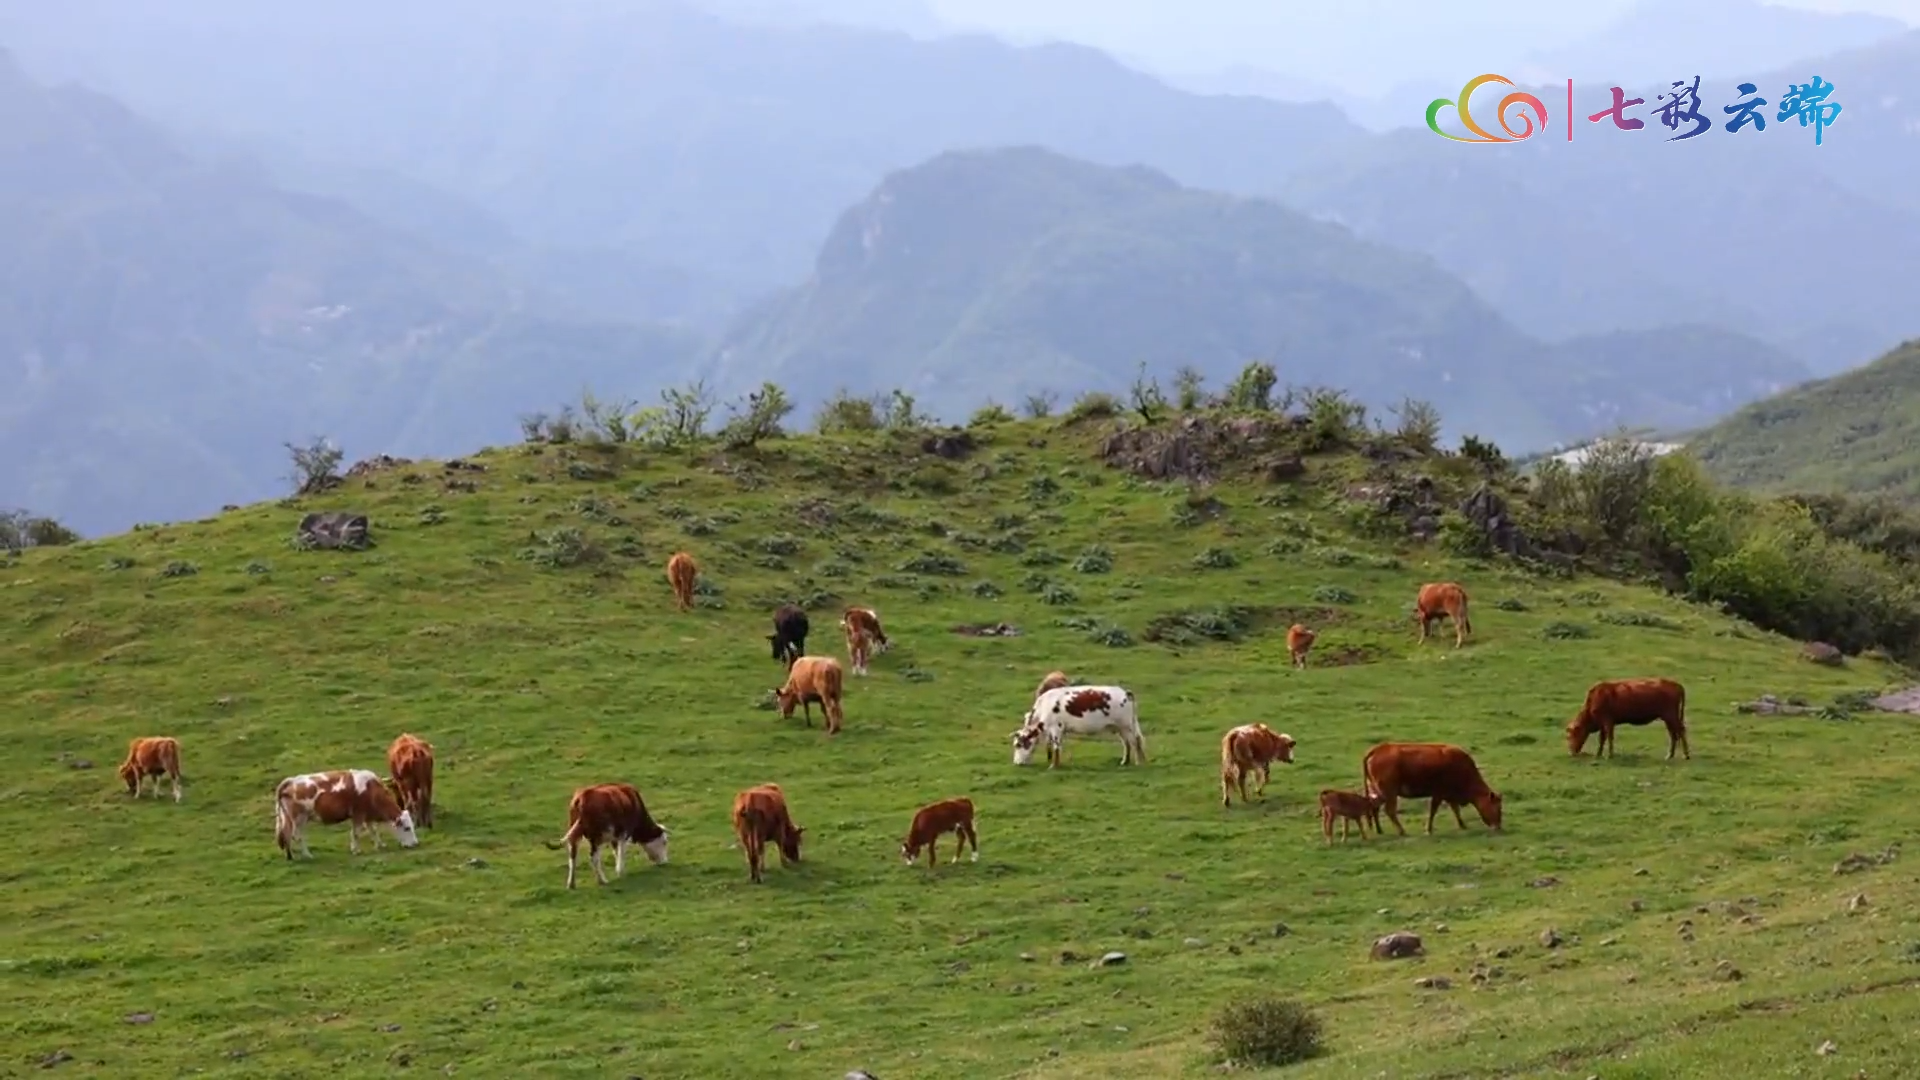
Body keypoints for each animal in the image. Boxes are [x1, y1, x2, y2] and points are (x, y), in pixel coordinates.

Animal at [270, 764, 416, 857]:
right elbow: (356, 833)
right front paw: (356, 850)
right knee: (297, 836)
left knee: (286, 835)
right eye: (407, 828)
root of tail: (291, 780)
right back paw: (308, 855)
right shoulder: (358, 814)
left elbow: (373, 830)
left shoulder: (367, 815)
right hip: (299, 818)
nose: (415, 844)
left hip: (287, 818)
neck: (371, 789)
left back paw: (290, 856)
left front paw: (380, 845)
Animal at [1013, 680, 1144, 764]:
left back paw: (1138, 762)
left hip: (1126, 725)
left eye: (1018, 744)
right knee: (1126, 743)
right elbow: (1054, 746)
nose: (1016, 762)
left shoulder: (1056, 727)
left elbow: (1056, 746)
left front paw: (1053, 766)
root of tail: (1125, 693)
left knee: (1134, 741)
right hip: (1118, 727)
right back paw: (1124, 762)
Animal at [1359, 737, 1505, 834]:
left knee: (1375, 808)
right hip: (1389, 792)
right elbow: (1434, 810)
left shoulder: (1449, 794)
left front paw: (1462, 825)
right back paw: (1402, 831)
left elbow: (1455, 809)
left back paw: (1379, 830)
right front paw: (1428, 829)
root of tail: (1378, 749)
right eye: (1498, 808)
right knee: (1389, 810)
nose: (1498, 827)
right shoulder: (1439, 793)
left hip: (1377, 791)